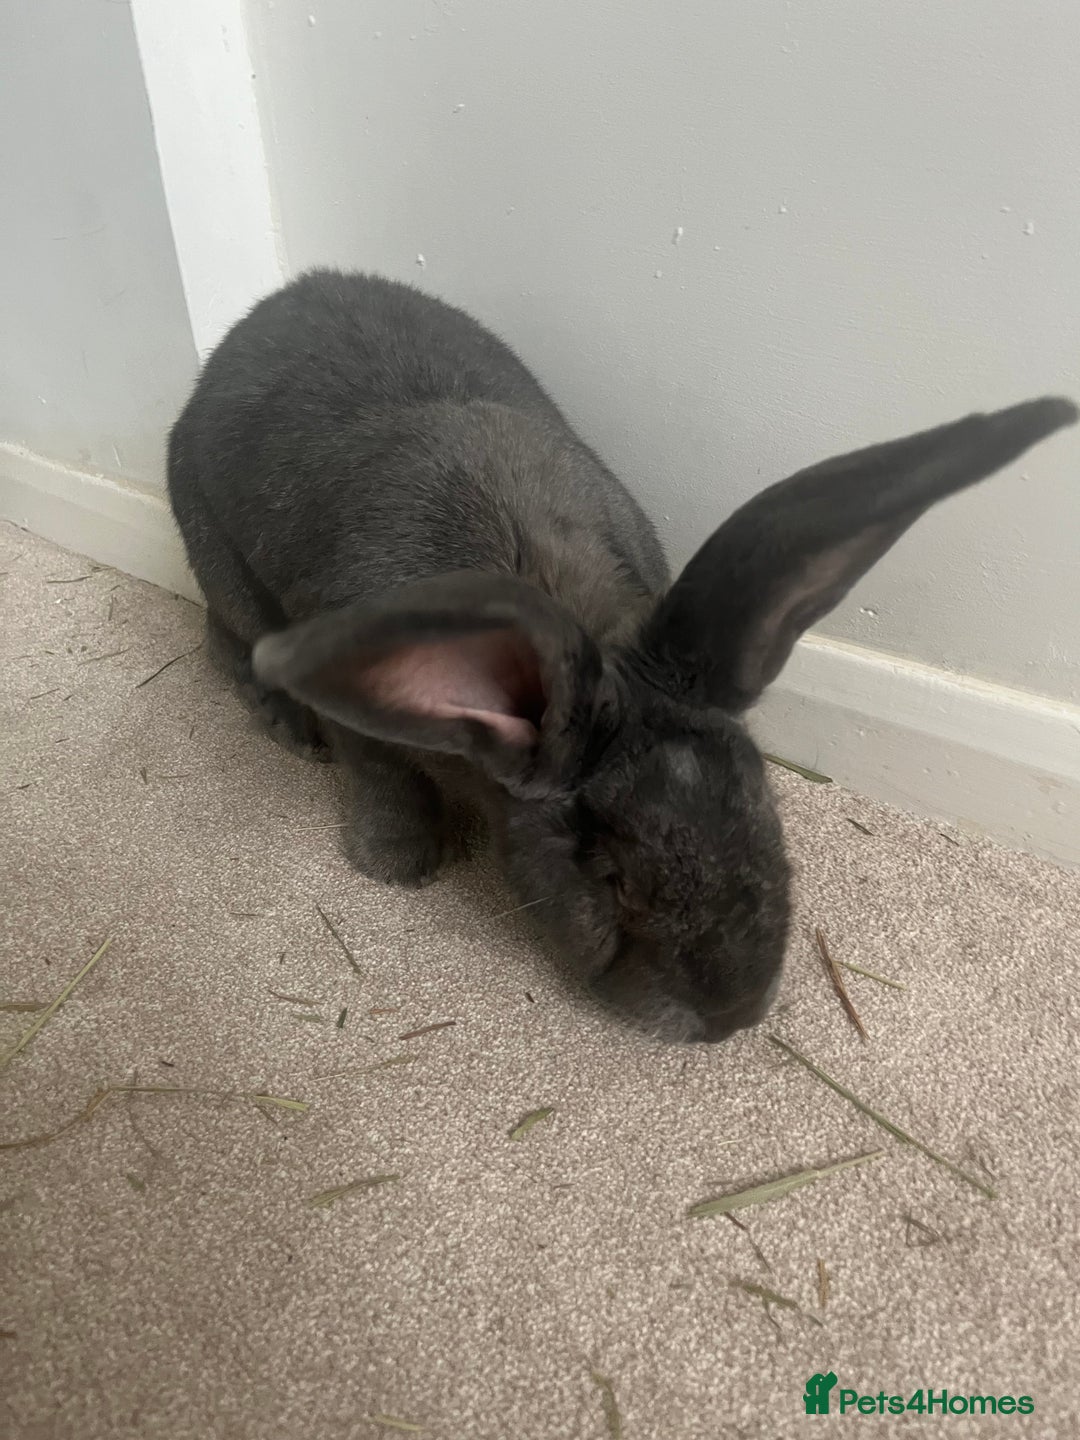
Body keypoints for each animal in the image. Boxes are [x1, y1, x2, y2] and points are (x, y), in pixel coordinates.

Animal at [167, 268, 1076, 1043]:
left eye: (769, 810)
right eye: (611, 879)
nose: (729, 1018)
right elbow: (383, 771)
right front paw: (398, 864)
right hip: (225, 572)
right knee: (225, 640)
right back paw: (286, 724)